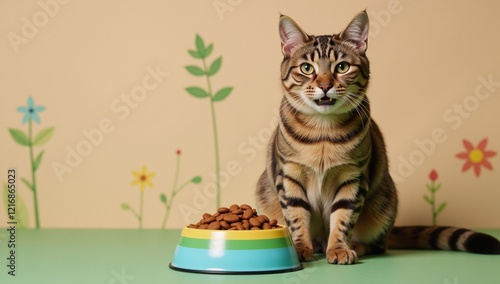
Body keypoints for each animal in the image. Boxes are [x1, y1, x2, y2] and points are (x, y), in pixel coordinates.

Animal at [256, 11, 498, 264]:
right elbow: (296, 217)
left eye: (342, 67)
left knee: (380, 245)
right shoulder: (290, 175)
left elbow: (343, 218)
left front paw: (340, 248)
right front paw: (300, 247)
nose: (324, 85)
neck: (323, 132)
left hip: (384, 202)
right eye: (306, 68)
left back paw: (355, 245)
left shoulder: (353, 177)